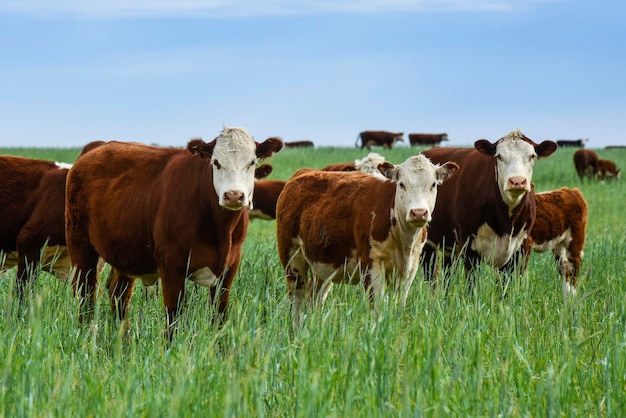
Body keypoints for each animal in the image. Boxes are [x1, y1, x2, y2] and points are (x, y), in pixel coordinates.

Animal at [64, 126, 282, 336]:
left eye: (252, 162)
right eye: (216, 162)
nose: (234, 195)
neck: (220, 230)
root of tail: (98, 147)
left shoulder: (229, 267)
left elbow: (219, 316)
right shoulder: (172, 264)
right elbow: (173, 317)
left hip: (124, 255)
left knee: (118, 295)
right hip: (81, 247)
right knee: (85, 294)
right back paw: (85, 336)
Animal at [276, 154, 456, 330]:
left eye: (433, 184)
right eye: (402, 184)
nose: (418, 212)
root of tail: (303, 173)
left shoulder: (410, 268)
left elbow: (398, 305)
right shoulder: (371, 264)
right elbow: (377, 308)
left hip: (322, 267)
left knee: (315, 299)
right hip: (292, 260)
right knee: (297, 301)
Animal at [420, 129, 556, 290]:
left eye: (532, 156)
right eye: (499, 156)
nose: (517, 181)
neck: (507, 220)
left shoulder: (521, 248)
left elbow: (506, 287)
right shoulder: (469, 246)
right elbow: (472, 285)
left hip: (449, 245)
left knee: (448, 274)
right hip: (427, 241)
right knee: (429, 274)